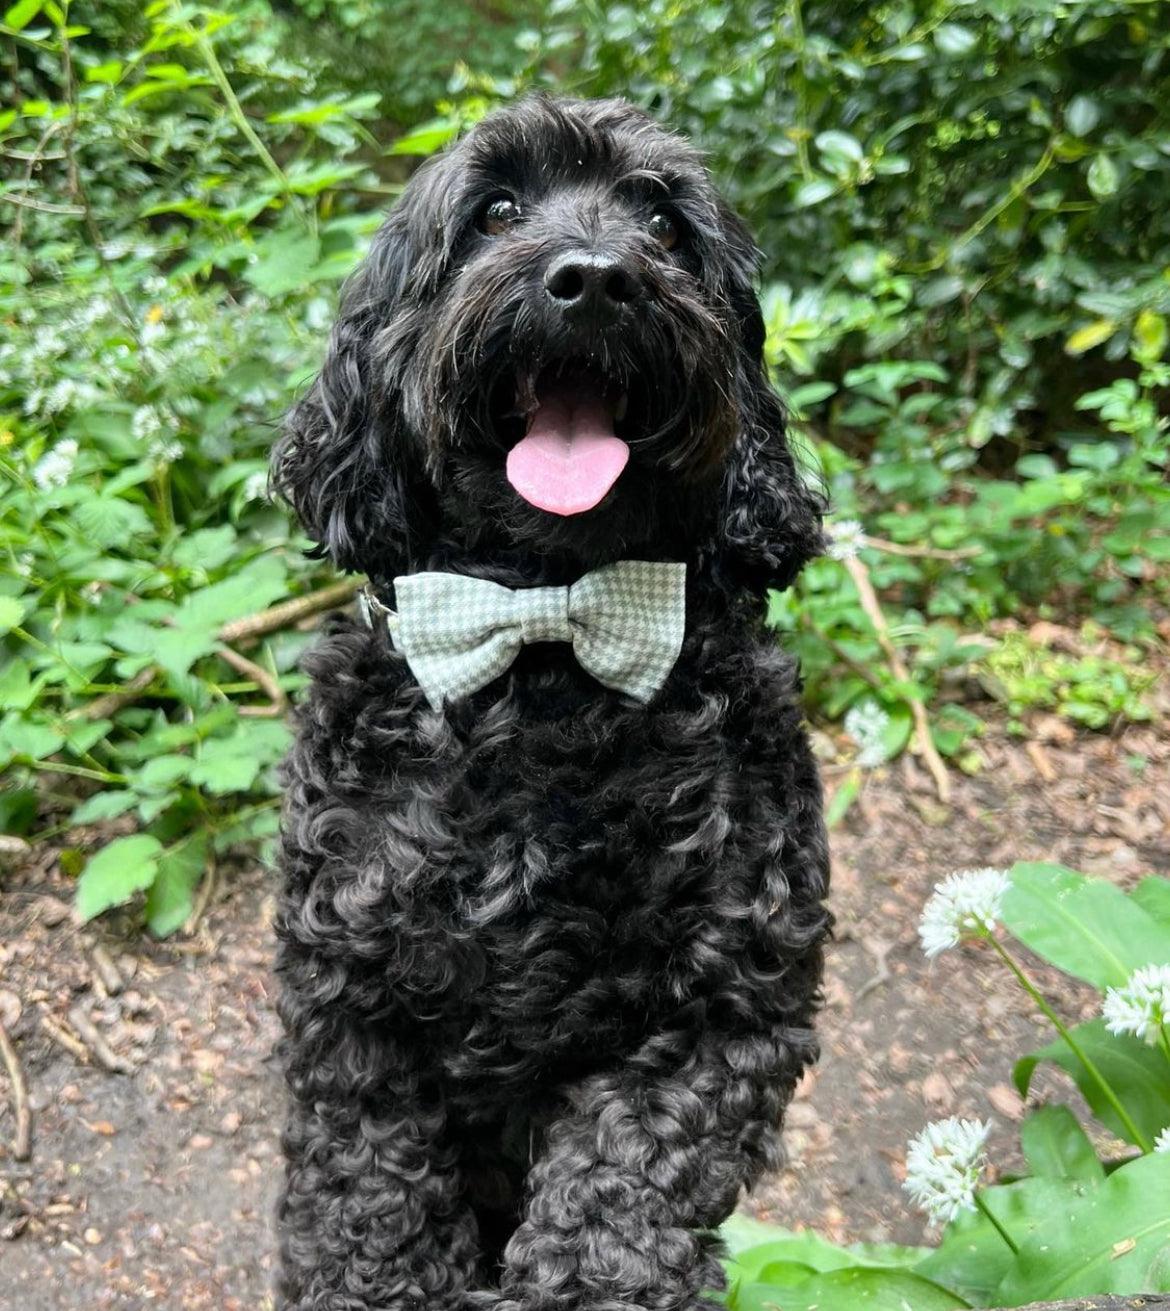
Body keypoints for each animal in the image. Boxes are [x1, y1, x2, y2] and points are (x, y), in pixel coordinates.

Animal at [270, 95, 828, 1311]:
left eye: (663, 223)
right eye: (495, 211)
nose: (597, 278)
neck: (546, 648)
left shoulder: (730, 1008)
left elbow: (622, 1189)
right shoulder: (349, 1005)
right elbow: (367, 1203)